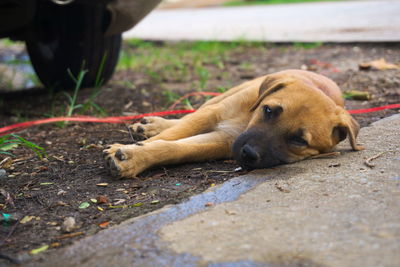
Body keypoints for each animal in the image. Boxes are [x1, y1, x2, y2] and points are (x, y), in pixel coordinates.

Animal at [104, 69, 366, 179]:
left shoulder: (225, 140)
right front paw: (130, 150)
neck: (247, 119)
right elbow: (173, 135)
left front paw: (136, 157)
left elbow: (175, 148)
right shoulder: (213, 115)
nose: (248, 153)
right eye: (268, 110)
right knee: (188, 116)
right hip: (221, 98)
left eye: (299, 140)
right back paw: (152, 125)